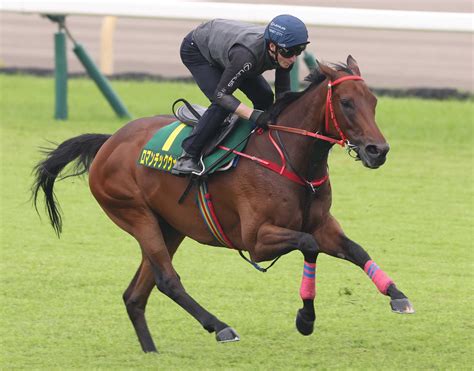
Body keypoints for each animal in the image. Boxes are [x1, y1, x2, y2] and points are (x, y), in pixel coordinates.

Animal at [31, 56, 412, 354]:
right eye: (346, 102)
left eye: (373, 101)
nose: (378, 150)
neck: (291, 158)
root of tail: (110, 141)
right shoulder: (257, 240)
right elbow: (309, 246)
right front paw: (305, 318)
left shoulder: (322, 224)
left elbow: (355, 249)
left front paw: (397, 295)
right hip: (136, 215)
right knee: (167, 280)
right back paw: (220, 327)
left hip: (169, 226)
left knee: (136, 294)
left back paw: (152, 351)